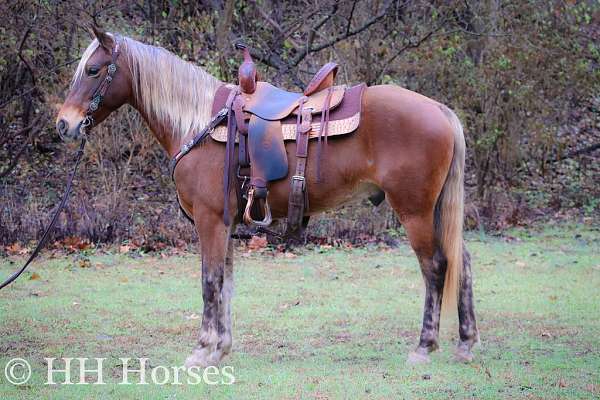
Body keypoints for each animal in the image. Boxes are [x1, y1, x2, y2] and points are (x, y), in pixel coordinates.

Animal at [56, 27, 478, 366]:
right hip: (435, 211)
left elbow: (209, 281)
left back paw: (424, 347)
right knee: (461, 263)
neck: (198, 123)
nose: (64, 124)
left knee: (435, 267)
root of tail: (440, 110)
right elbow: (225, 283)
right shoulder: (225, 224)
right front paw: (220, 349)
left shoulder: (209, 220)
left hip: (415, 212)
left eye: (93, 70)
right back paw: (466, 343)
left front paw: (202, 350)